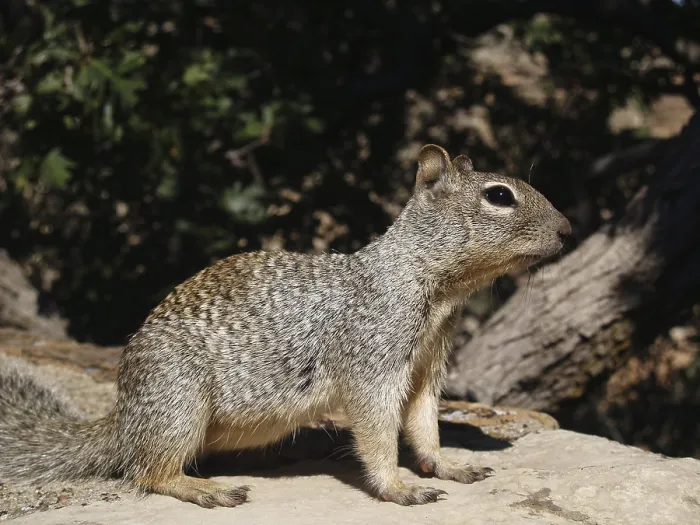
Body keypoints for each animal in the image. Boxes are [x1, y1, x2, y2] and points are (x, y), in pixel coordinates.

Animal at [0, 145, 570, 508]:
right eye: (499, 196)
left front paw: (448, 465)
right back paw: (207, 490)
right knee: (146, 470)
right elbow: (377, 430)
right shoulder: (372, 359)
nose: (568, 229)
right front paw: (397, 487)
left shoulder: (425, 366)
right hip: (178, 399)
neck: (432, 287)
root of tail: (122, 417)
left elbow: (424, 423)